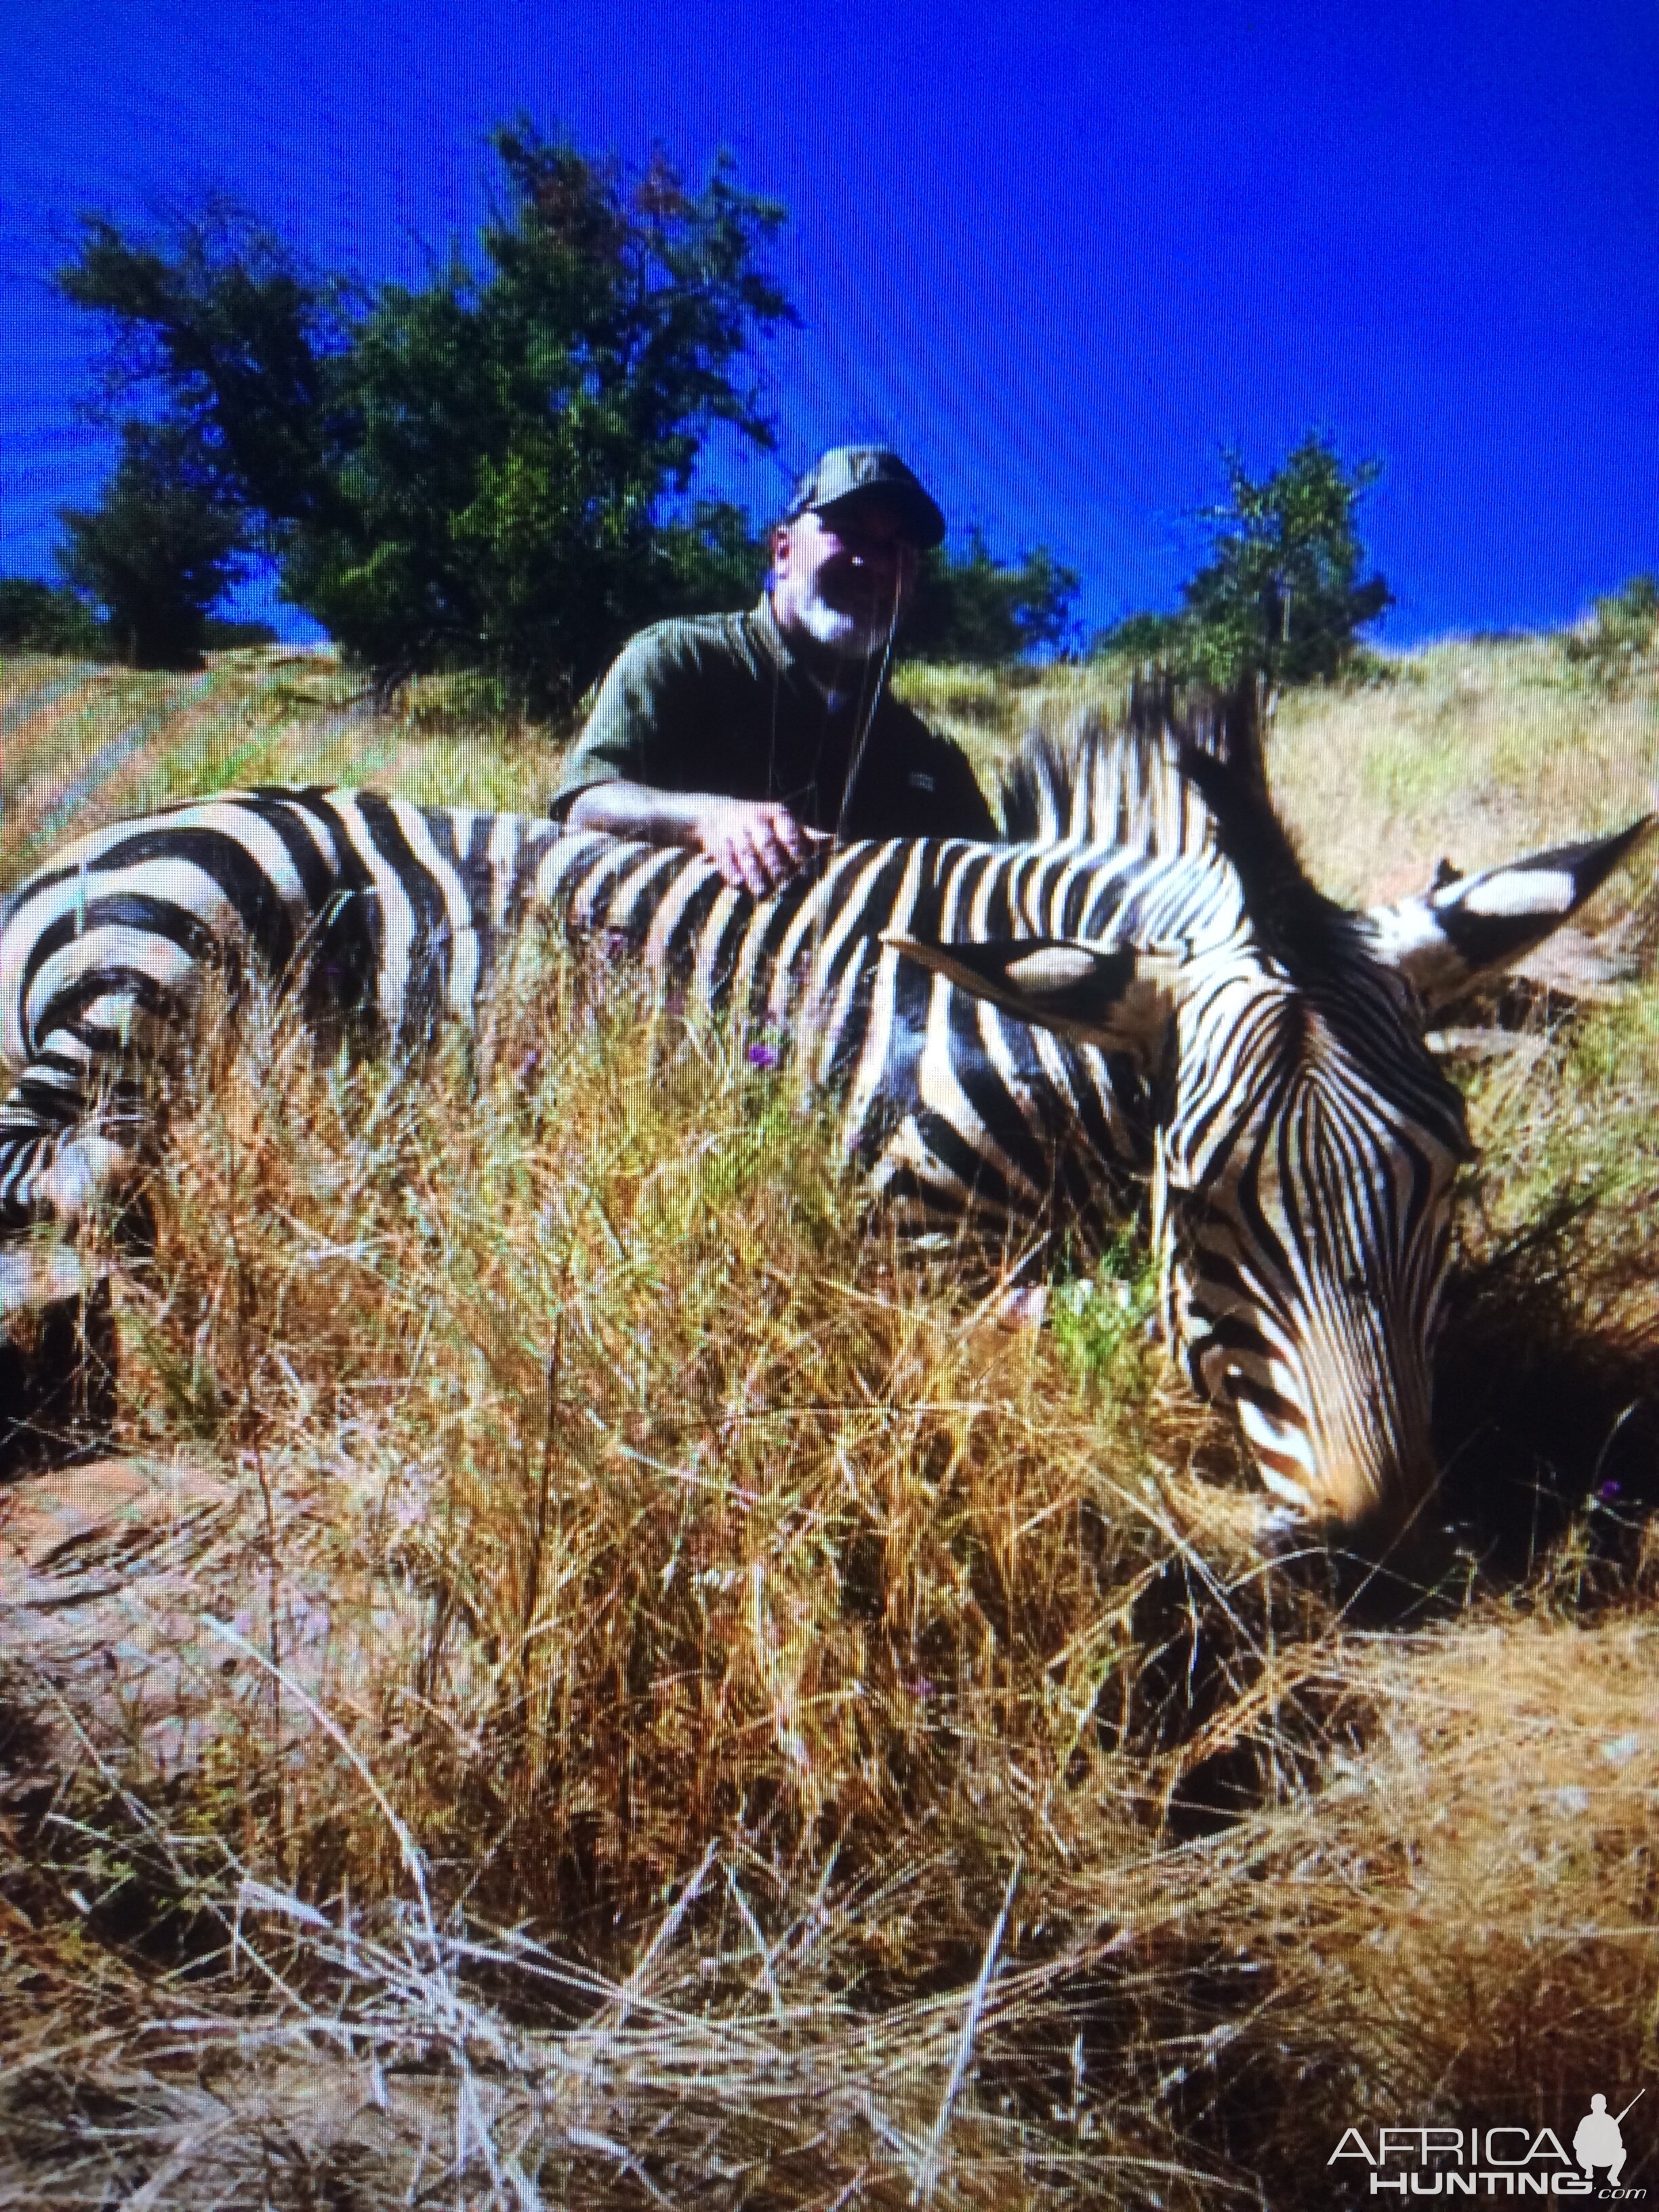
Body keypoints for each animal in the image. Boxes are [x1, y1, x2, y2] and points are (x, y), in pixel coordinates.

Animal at [0, 699, 1654, 1548]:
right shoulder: (897, 1232)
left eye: (1449, 1178)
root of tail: (90, 840)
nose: (1376, 1527)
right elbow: (1066, 1319)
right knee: (72, 1162)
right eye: (1203, 1202)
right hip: (162, 957)